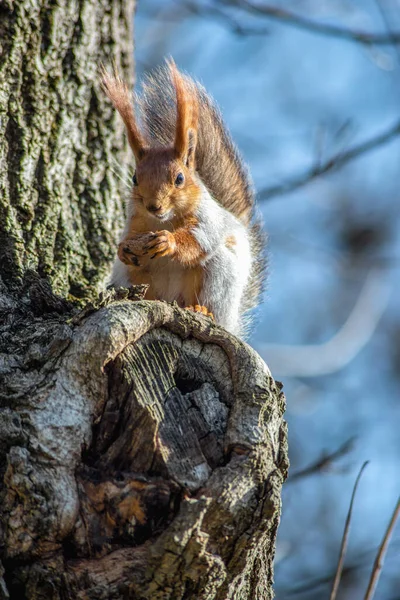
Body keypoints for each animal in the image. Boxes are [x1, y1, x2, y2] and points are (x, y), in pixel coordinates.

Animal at [101, 61, 266, 338]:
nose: (153, 206)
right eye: (135, 178)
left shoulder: (207, 218)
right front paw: (123, 248)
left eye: (179, 178)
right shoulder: (134, 220)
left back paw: (201, 310)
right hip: (132, 275)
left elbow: (200, 238)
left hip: (218, 275)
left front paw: (169, 242)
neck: (164, 220)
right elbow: (126, 237)